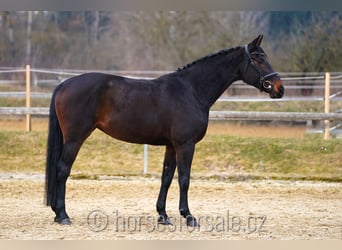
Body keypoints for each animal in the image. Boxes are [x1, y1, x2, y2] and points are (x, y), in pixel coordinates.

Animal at [46, 34, 284, 227]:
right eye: (258, 59)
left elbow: (167, 178)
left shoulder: (171, 145)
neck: (191, 90)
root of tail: (64, 84)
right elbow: (184, 179)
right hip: (75, 138)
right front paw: (189, 216)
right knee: (62, 169)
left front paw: (163, 215)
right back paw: (63, 215)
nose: (279, 88)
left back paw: (58, 213)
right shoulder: (185, 145)